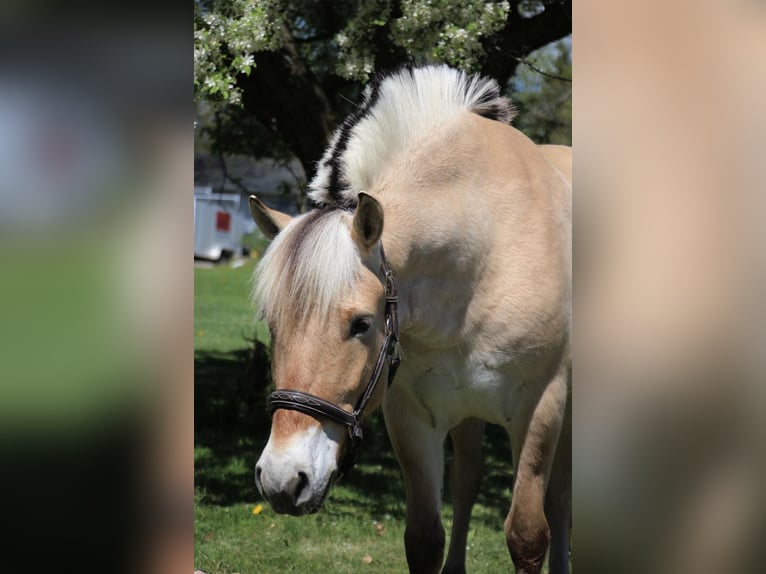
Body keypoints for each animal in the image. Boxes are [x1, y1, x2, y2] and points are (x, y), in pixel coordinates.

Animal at [250, 65, 568, 572]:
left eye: (362, 324)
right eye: (272, 322)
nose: (283, 479)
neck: (483, 250)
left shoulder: (542, 408)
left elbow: (527, 534)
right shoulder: (412, 418)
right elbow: (424, 539)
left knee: (559, 498)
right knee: (468, 482)